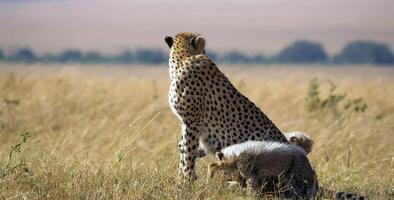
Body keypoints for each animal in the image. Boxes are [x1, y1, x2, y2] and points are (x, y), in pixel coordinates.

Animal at [165, 32, 288, 180]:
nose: (205, 52)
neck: (182, 60)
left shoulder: (193, 122)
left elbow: (188, 153)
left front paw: (186, 180)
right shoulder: (186, 123)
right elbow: (184, 150)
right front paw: (181, 177)